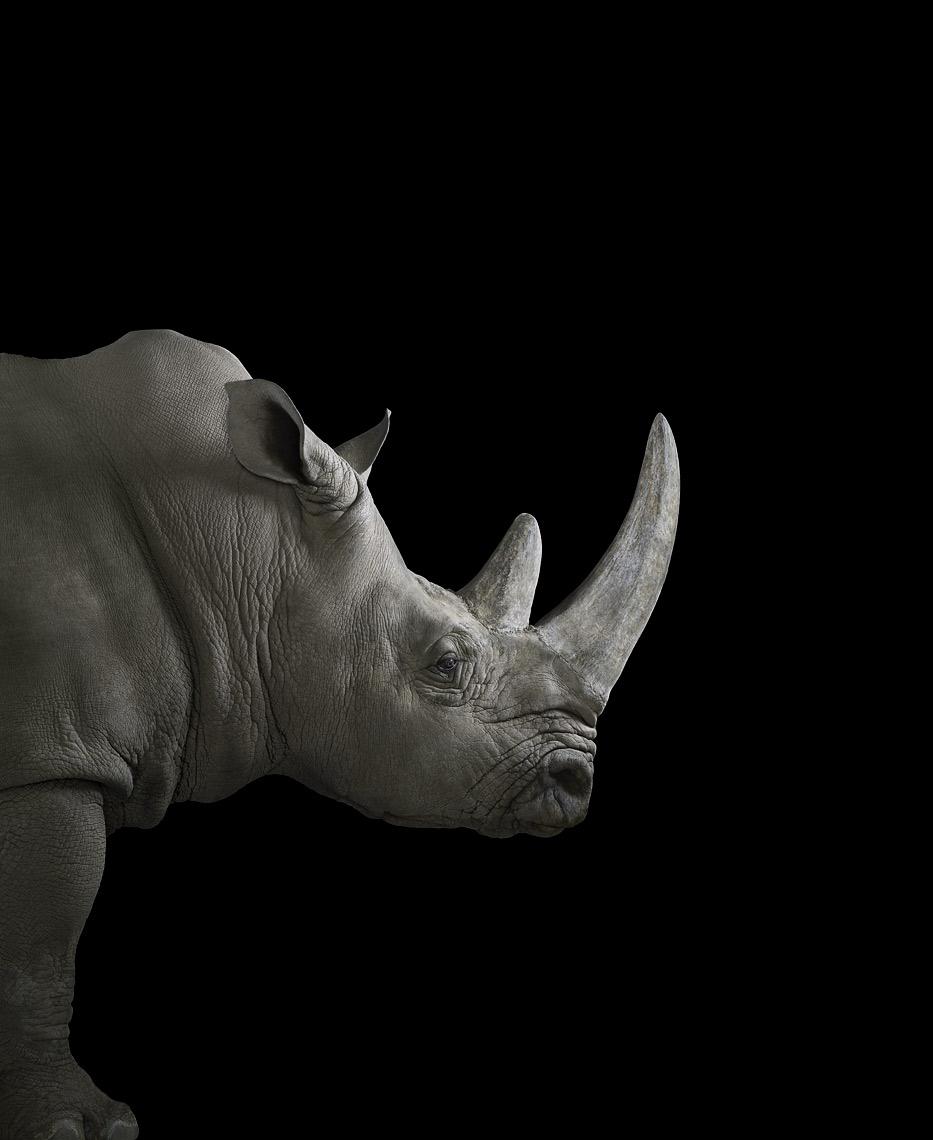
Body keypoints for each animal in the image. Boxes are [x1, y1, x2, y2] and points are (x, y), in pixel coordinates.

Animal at [0, 330, 679, 1139]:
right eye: (446, 665)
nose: (578, 782)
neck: (237, 541)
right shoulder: (49, 758)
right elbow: (42, 939)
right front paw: (74, 1128)